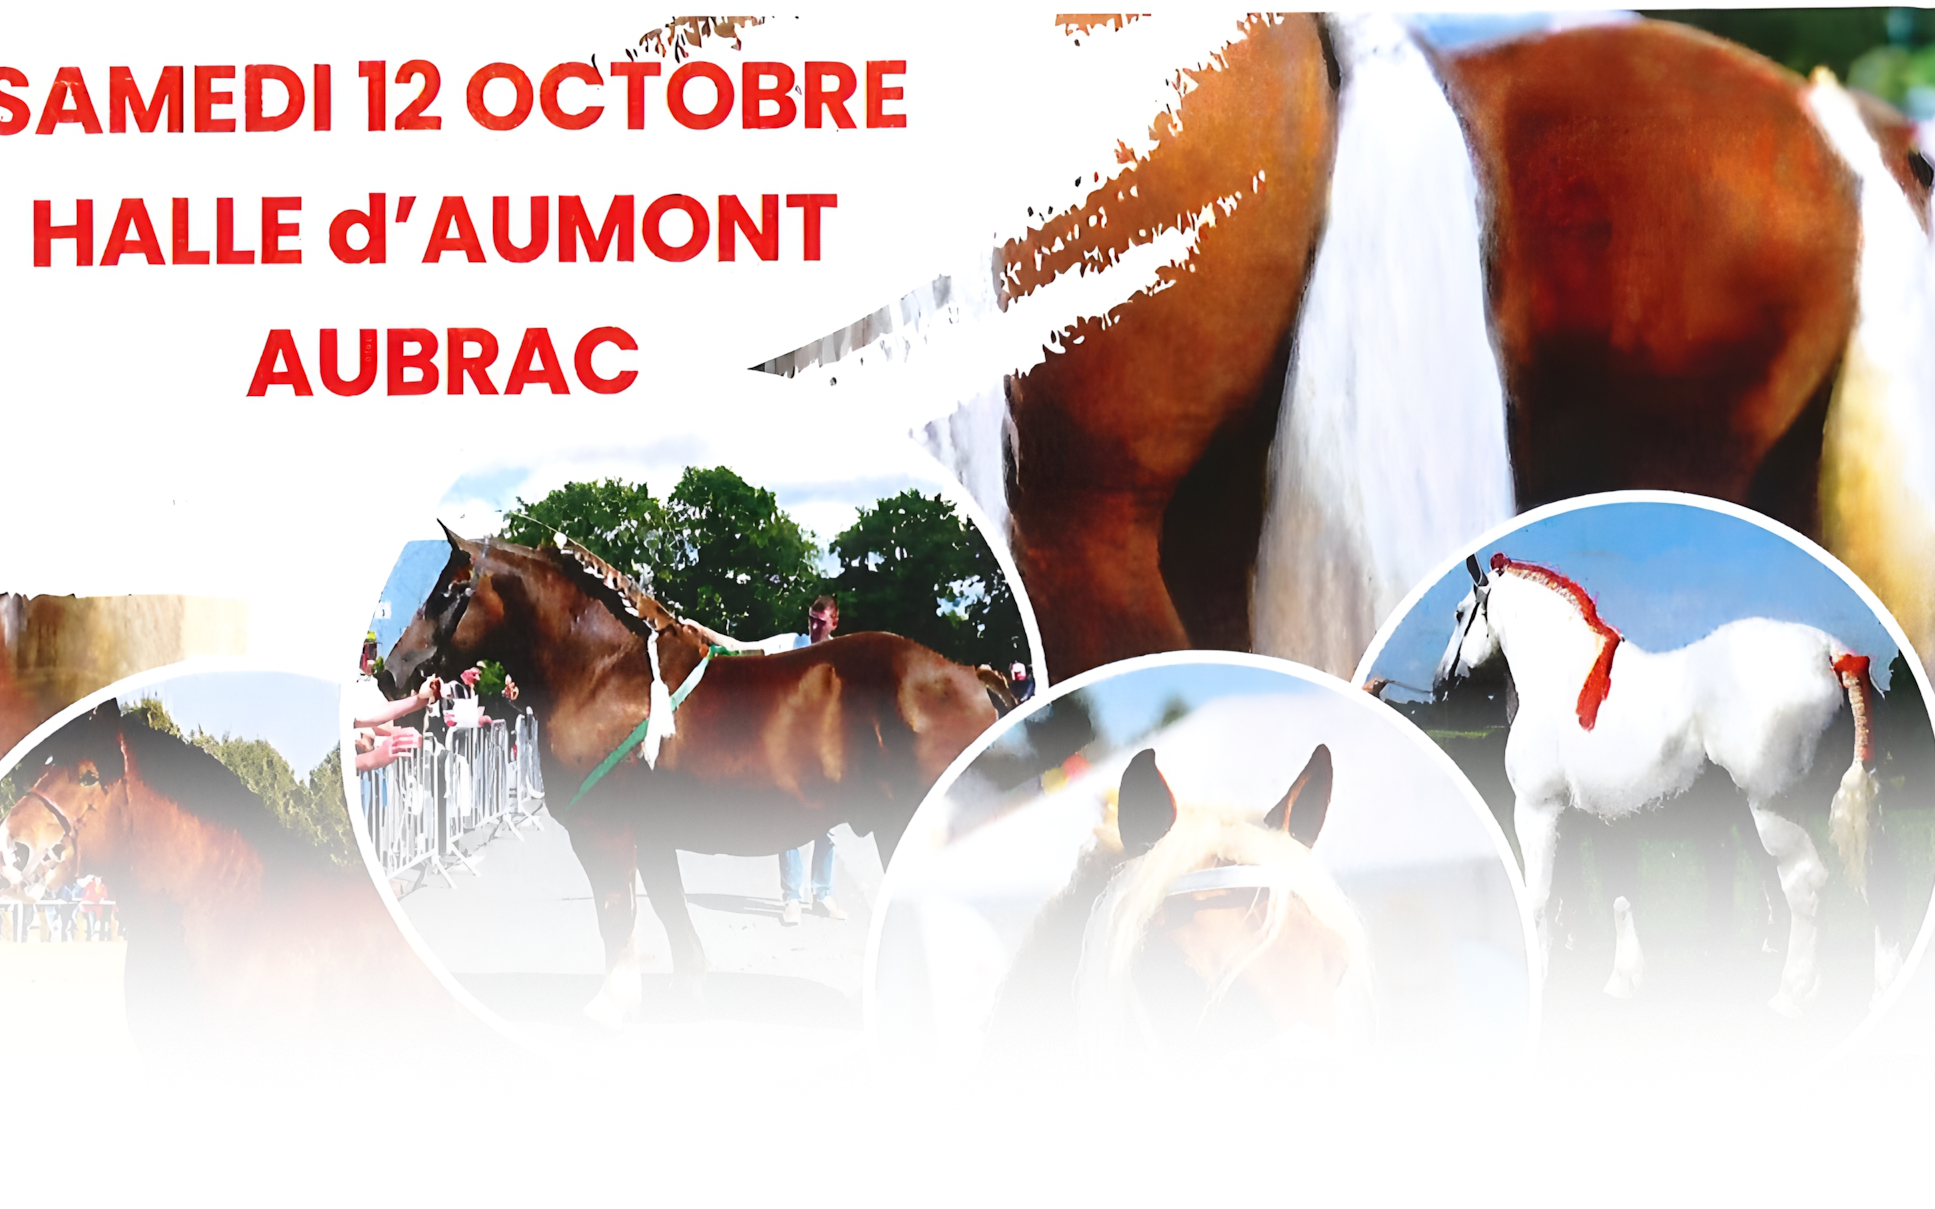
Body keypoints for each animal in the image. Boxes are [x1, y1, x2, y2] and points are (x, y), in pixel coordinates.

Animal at [381, 526, 1013, 1021]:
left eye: (448, 591)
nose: (392, 671)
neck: (601, 674)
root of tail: (971, 674)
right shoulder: (652, 835)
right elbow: (668, 909)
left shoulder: (604, 833)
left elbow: (618, 912)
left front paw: (613, 1005)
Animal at [1431, 553, 1880, 1013]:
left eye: (1459, 614)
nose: (1439, 682)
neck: (1565, 681)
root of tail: (1830, 652)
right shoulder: (1604, 823)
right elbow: (1617, 896)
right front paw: (1622, 980)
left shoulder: (1538, 812)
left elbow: (1539, 900)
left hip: (1774, 814)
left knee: (1803, 887)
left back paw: (1791, 993)